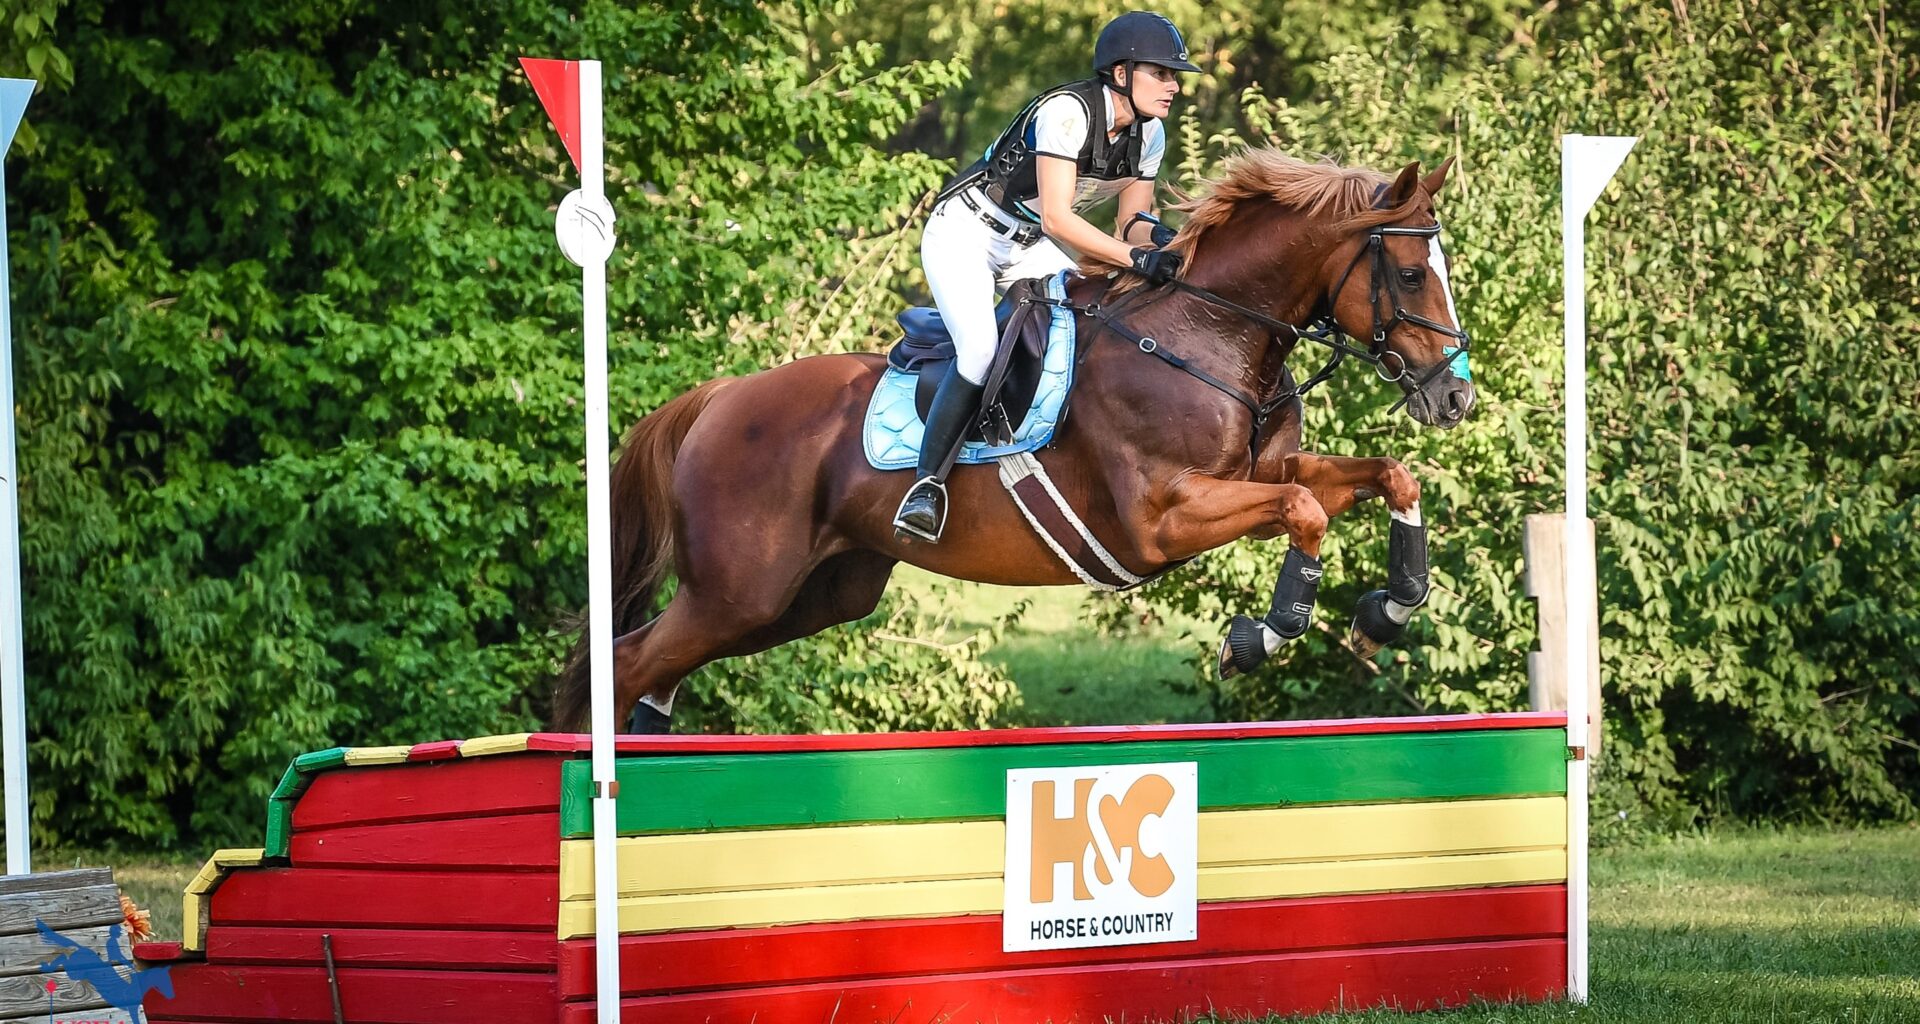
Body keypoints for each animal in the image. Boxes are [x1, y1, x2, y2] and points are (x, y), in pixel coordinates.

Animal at [551, 149, 1475, 734]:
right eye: (1408, 274)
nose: (1456, 395)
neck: (1209, 333)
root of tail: (716, 399)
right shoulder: (1161, 521)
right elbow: (1303, 512)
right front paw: (1262, 635)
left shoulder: (1266, 469)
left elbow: (1388, 476)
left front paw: (1390, 607)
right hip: (738, 589)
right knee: (630, 661)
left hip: (808, 595)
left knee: (651, 665)